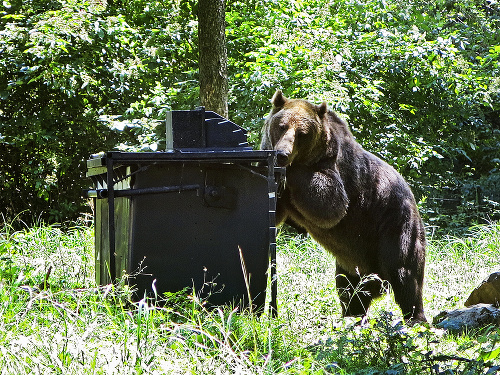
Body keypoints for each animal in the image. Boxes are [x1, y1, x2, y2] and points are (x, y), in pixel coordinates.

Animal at [260, 90, 428, 324]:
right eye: (282, 126)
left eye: (302, 133)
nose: (282, 154)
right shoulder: (282, 196)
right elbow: (271, 212)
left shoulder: (337, 171)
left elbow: (330, 204)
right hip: (352, 259)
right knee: (349, 288)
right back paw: (352, 315)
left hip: (393, 225)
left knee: (404, 273)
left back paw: (415, 317)